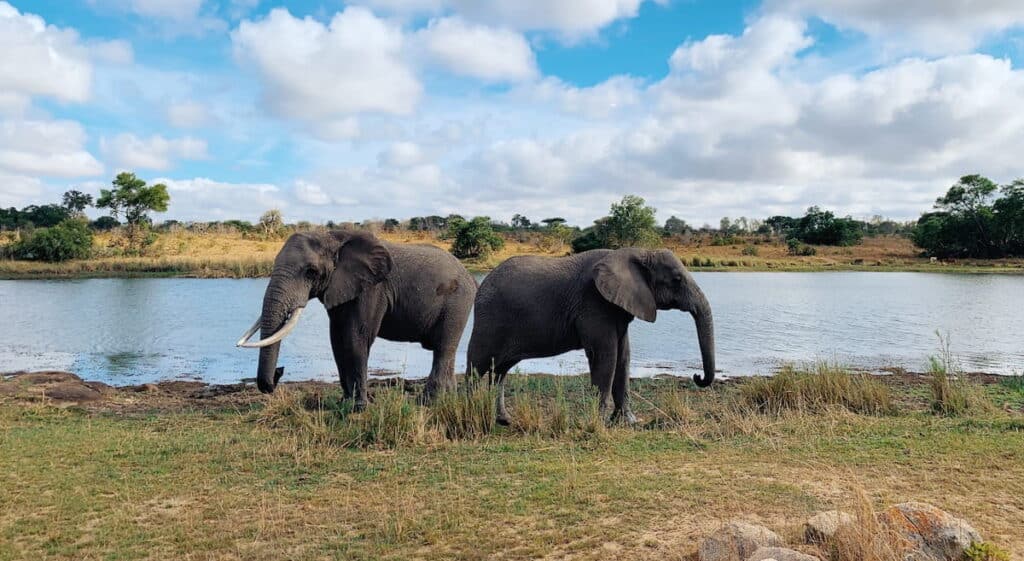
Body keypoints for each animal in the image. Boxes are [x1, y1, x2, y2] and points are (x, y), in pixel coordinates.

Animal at [237, 229, 477, 406]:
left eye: (311, 272)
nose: (279, 372)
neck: (333, 238)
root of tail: (471, 277)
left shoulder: (373, 289)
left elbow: (356, 337)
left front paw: (359, 407)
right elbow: (337, 340)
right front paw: (346, 403)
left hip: (457, 302)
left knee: (443, 347)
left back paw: (427, 402)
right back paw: (447, 398)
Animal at [466, 247, 715, 424]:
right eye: (677, 280)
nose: (697, 377)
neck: (638, 252)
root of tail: (481, 283)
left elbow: (623, 357)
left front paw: (628, 422)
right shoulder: (594, 303)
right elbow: (606, 357)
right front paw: (598, 423)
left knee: (499, 371)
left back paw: (503, 420)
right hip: (489, 321)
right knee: (478, 366)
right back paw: (467, 414)